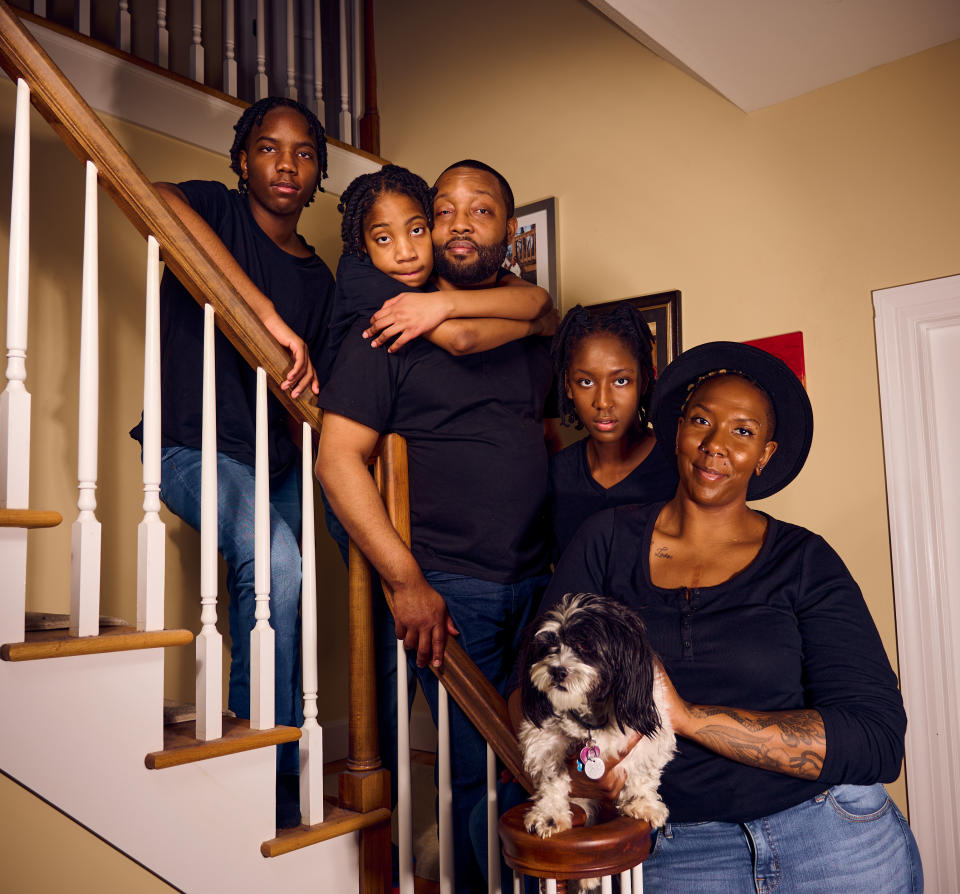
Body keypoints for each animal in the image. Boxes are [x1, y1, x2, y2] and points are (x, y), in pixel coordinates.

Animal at [516, 592, 676, 852]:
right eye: (548, 647)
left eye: (584, 646)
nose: (557, 670)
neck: (591, 712)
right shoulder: (543, 739)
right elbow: (552, 776)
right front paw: (550, 814)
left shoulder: (650, 734)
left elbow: (642, 771)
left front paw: (640, 802)